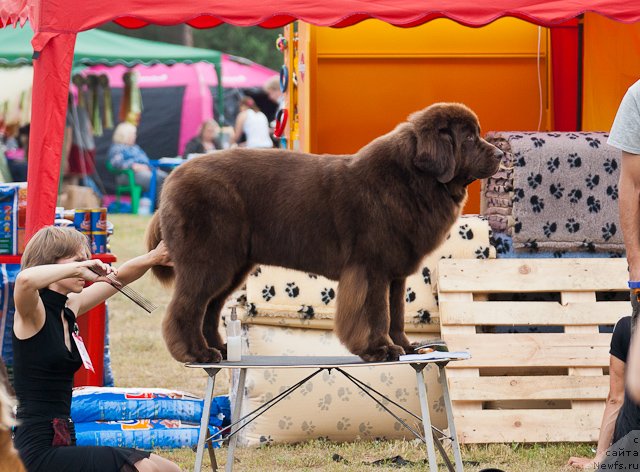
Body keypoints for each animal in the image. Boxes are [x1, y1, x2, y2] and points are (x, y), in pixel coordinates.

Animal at [148, 102, 502, 362]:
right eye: (469, 138)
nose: (500, 153)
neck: (412, 180)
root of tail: (173, 177)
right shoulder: (370, 268)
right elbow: (376, 312)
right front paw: (380, 349)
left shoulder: (395, 273)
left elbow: (397, 312)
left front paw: (405, 346)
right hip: (210, 261)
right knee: (186, 308)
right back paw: (197, 353)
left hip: (233, 266)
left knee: (210, 308)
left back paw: (219, 349)